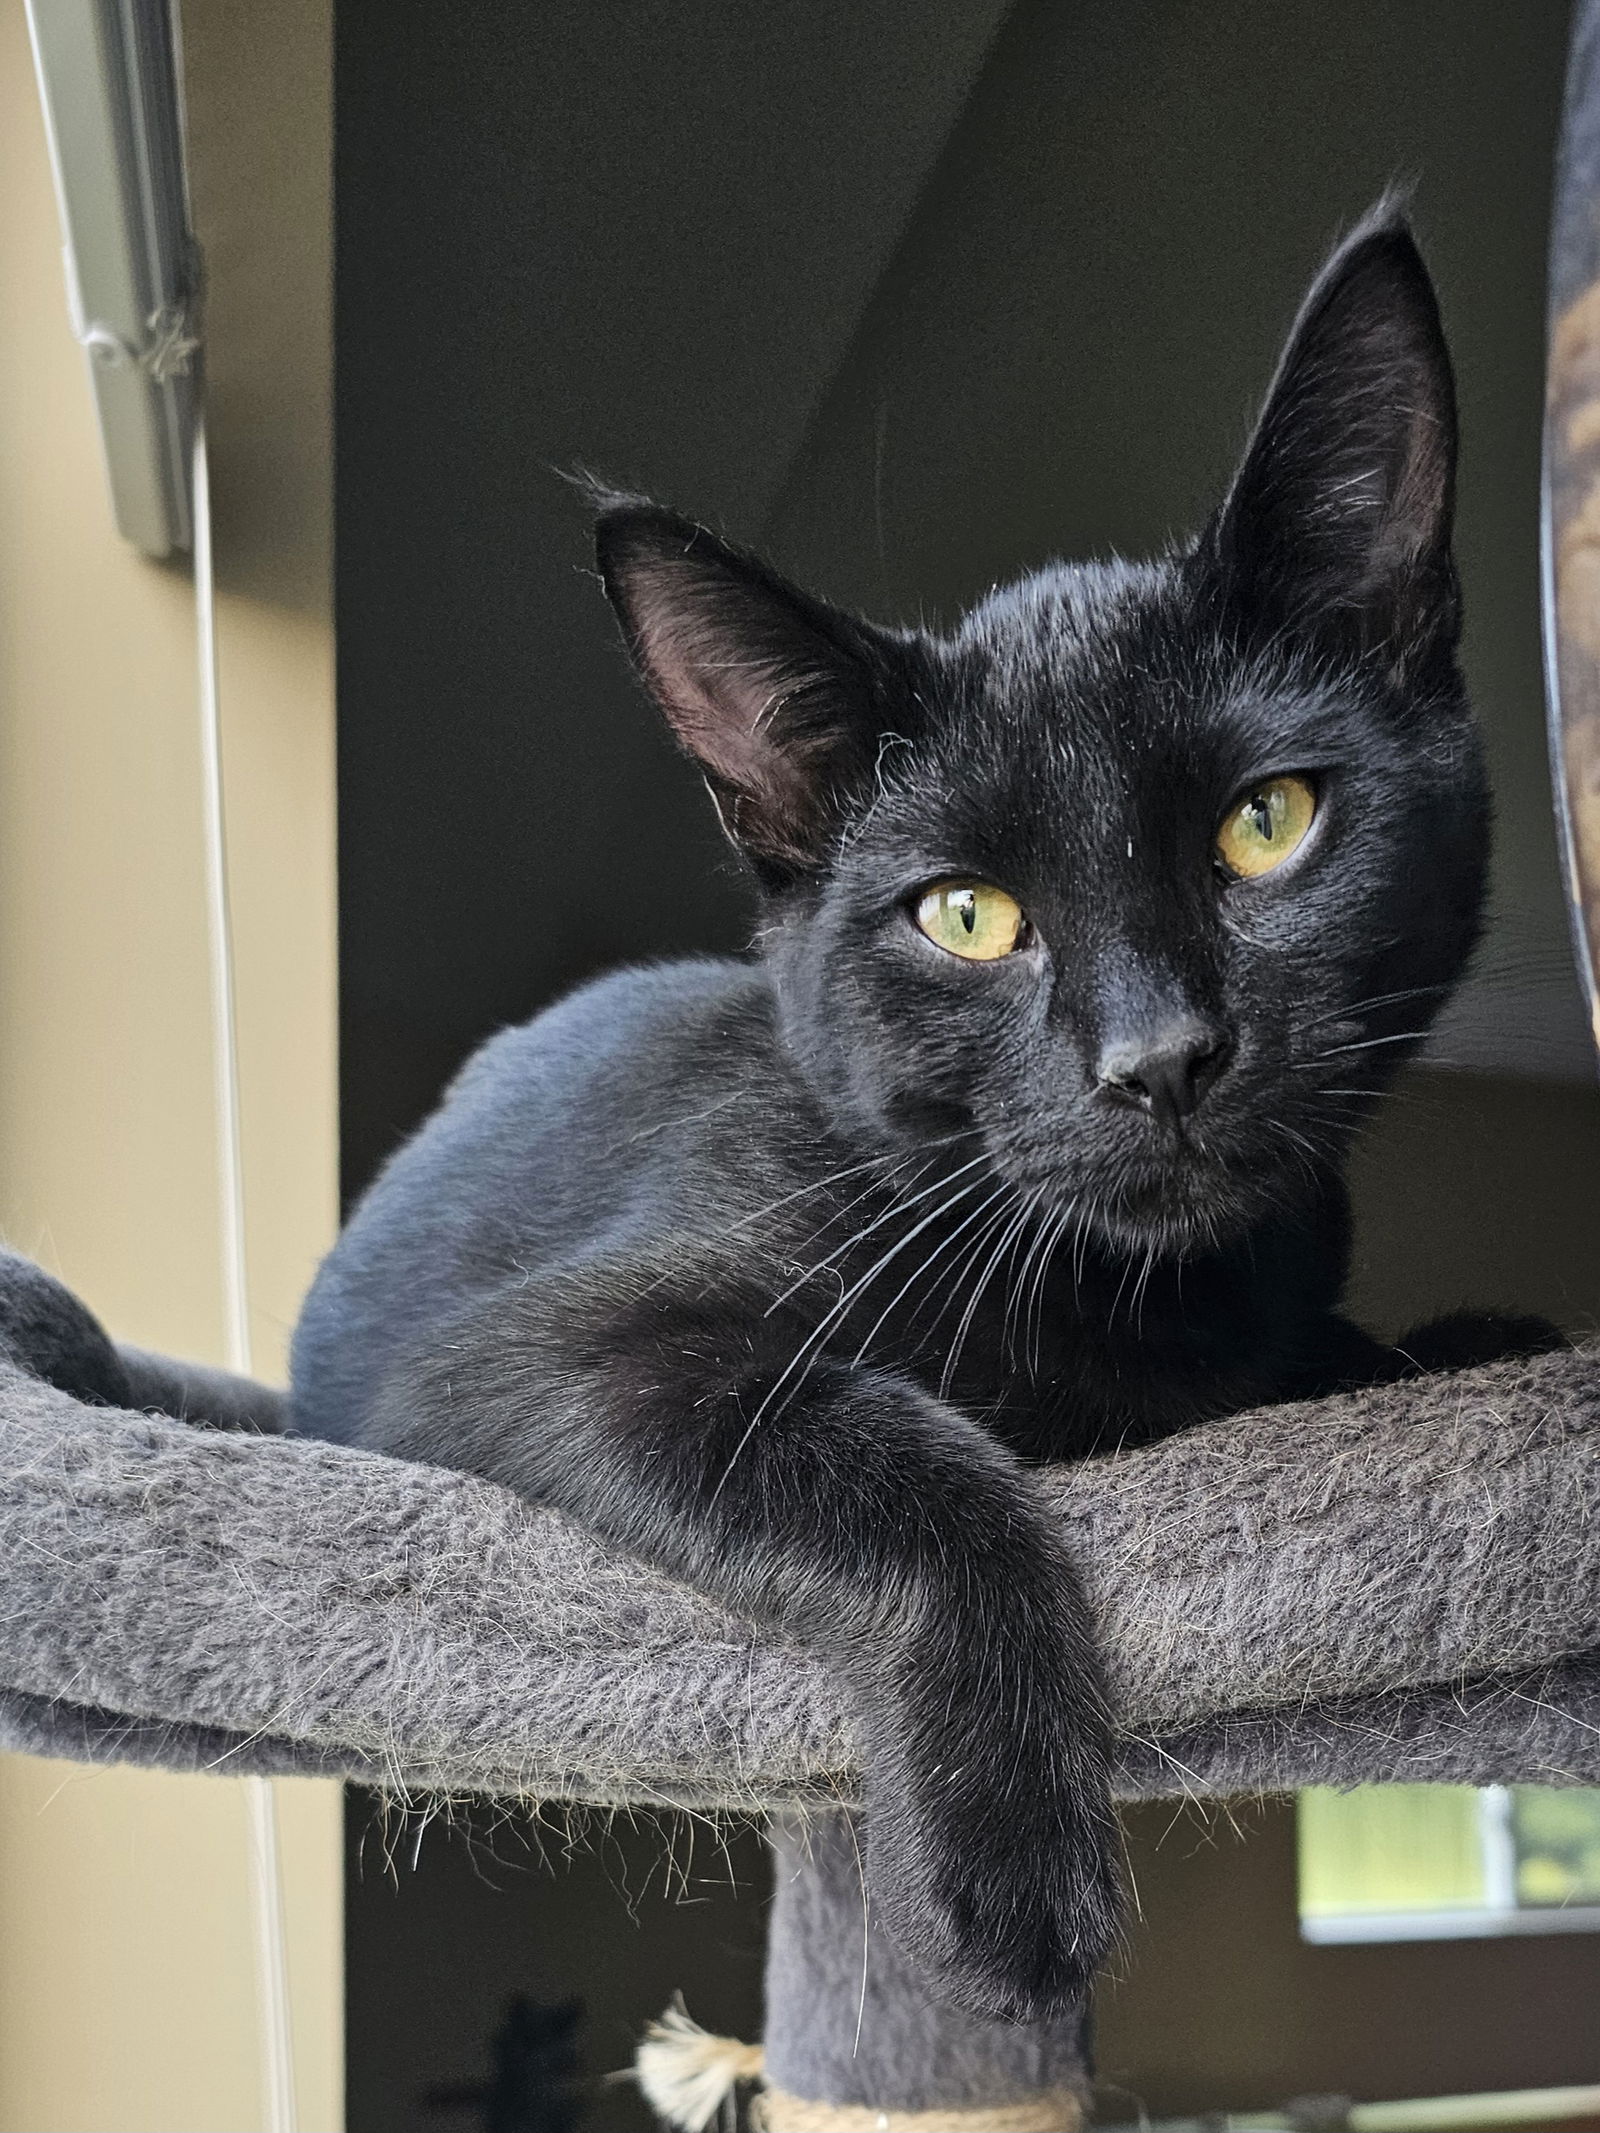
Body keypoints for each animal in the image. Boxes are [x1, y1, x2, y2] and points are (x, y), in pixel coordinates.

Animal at [292, 207, 1518, 2022]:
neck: (1132, 1297)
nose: (1159, 1056)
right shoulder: (534, 1353)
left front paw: (1471, 1344)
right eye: (965, 916)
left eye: (1268, 821)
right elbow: (912, 1470)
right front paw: (1011, 1878)